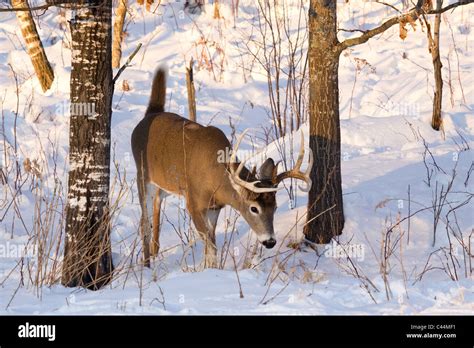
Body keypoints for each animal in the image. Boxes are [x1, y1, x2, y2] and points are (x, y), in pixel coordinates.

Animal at [131, 68, 312, 270]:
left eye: (275, 206)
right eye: (253, 208)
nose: (270, 241)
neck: (214, 180)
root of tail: (149, 115)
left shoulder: (214, 207)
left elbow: (212, 245)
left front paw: (211, 269)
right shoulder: (193, 202)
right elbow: (211, 248)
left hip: (165, 183)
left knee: (157, 202)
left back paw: (154, 252)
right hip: (142, 175)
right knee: (144, 222)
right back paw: (146, 265)